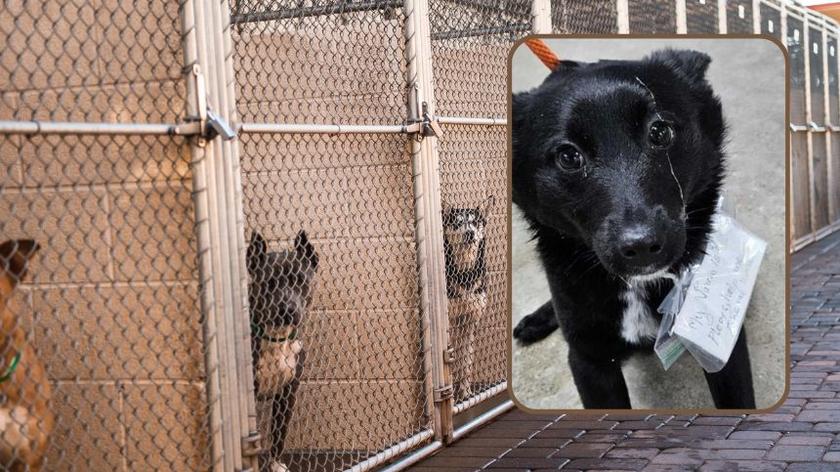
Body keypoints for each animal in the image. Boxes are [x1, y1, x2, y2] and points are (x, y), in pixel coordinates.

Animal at [248, 231, 320, 472]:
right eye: (268, 283)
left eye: (299, 280)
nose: (287, 309)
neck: (277, 339)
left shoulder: (287, 393)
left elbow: (279, 434)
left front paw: (275, 464)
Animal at [442, 195, 496, 398]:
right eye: (457, 223)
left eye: (475, 222)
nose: (469, 233)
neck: (465, 274)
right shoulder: (450, 322)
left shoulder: (470, 322)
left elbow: (466, 363)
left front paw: (465, 394)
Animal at [508, 48, 756, 410]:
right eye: (568, 156)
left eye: (660, 132)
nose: (641, 246)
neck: (641, 285)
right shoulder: (589, 362)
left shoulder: (720, 349)